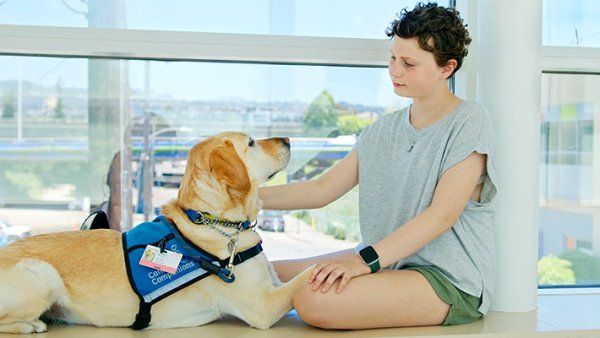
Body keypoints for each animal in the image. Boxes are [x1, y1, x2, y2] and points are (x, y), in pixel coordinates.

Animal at [0, 131, 312, 332]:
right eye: (251, 142)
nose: (288, 139)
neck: (213, 221)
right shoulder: (263, 306)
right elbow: (304, 276)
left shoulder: (270, 283)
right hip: (42, 272)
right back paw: (30, 324)